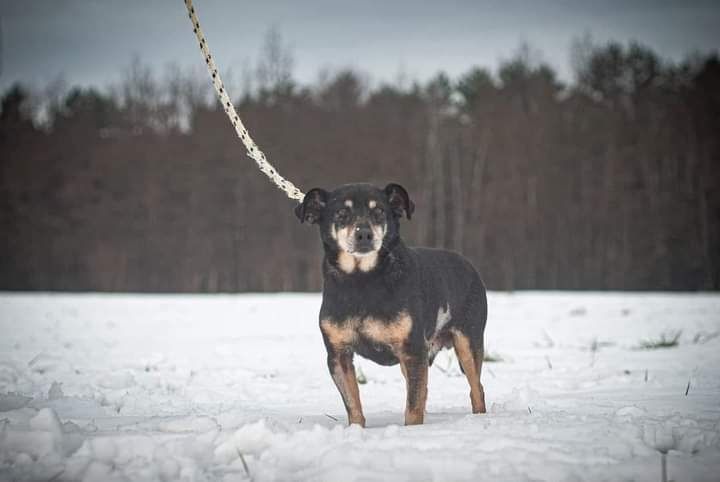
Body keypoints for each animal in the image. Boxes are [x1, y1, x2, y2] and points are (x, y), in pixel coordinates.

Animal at [294, 182, 490, 426]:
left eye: (379, 211)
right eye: (341, 213)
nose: (364, 234)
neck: (362, 281)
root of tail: (469, 265)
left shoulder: (413, 350)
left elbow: (413, 406)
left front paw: (412, 431)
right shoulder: (338, 355)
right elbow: (353, 404)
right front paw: (356, 430)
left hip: (467, 341)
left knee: (476, 388)